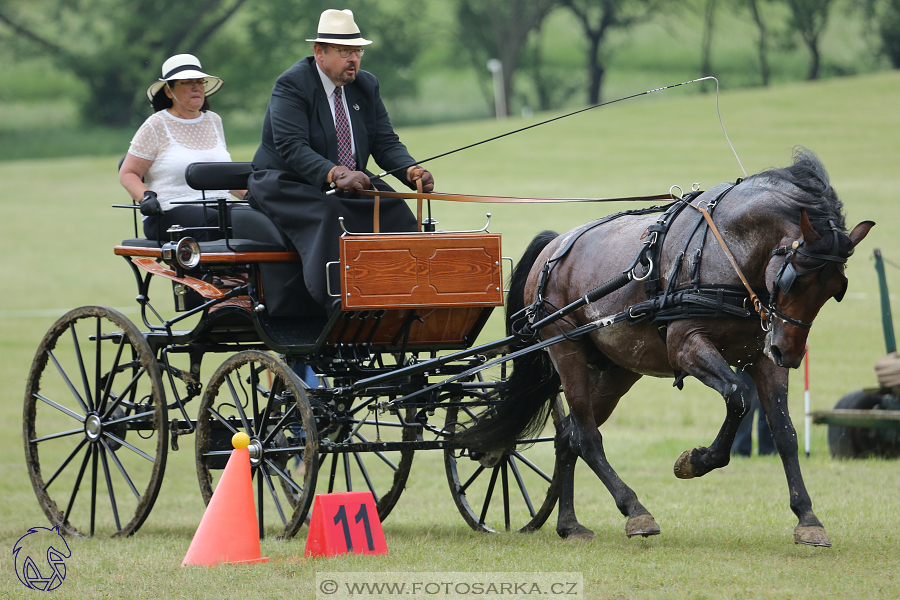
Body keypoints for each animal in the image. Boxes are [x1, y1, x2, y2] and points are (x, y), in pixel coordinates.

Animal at [454, 148, 876, 548]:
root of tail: (553, 248)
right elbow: (737, 396)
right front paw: (697, 460)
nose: (788, 354)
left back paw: (570, 525)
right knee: (587, 437)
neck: (730, 251)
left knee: (568, 436)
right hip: (567, 350)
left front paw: (808, 518)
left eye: (835, 289)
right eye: (795, 280)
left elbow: (784, 432)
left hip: (616, 370)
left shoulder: (761, 358)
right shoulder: (686, 347)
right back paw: (635, 510)